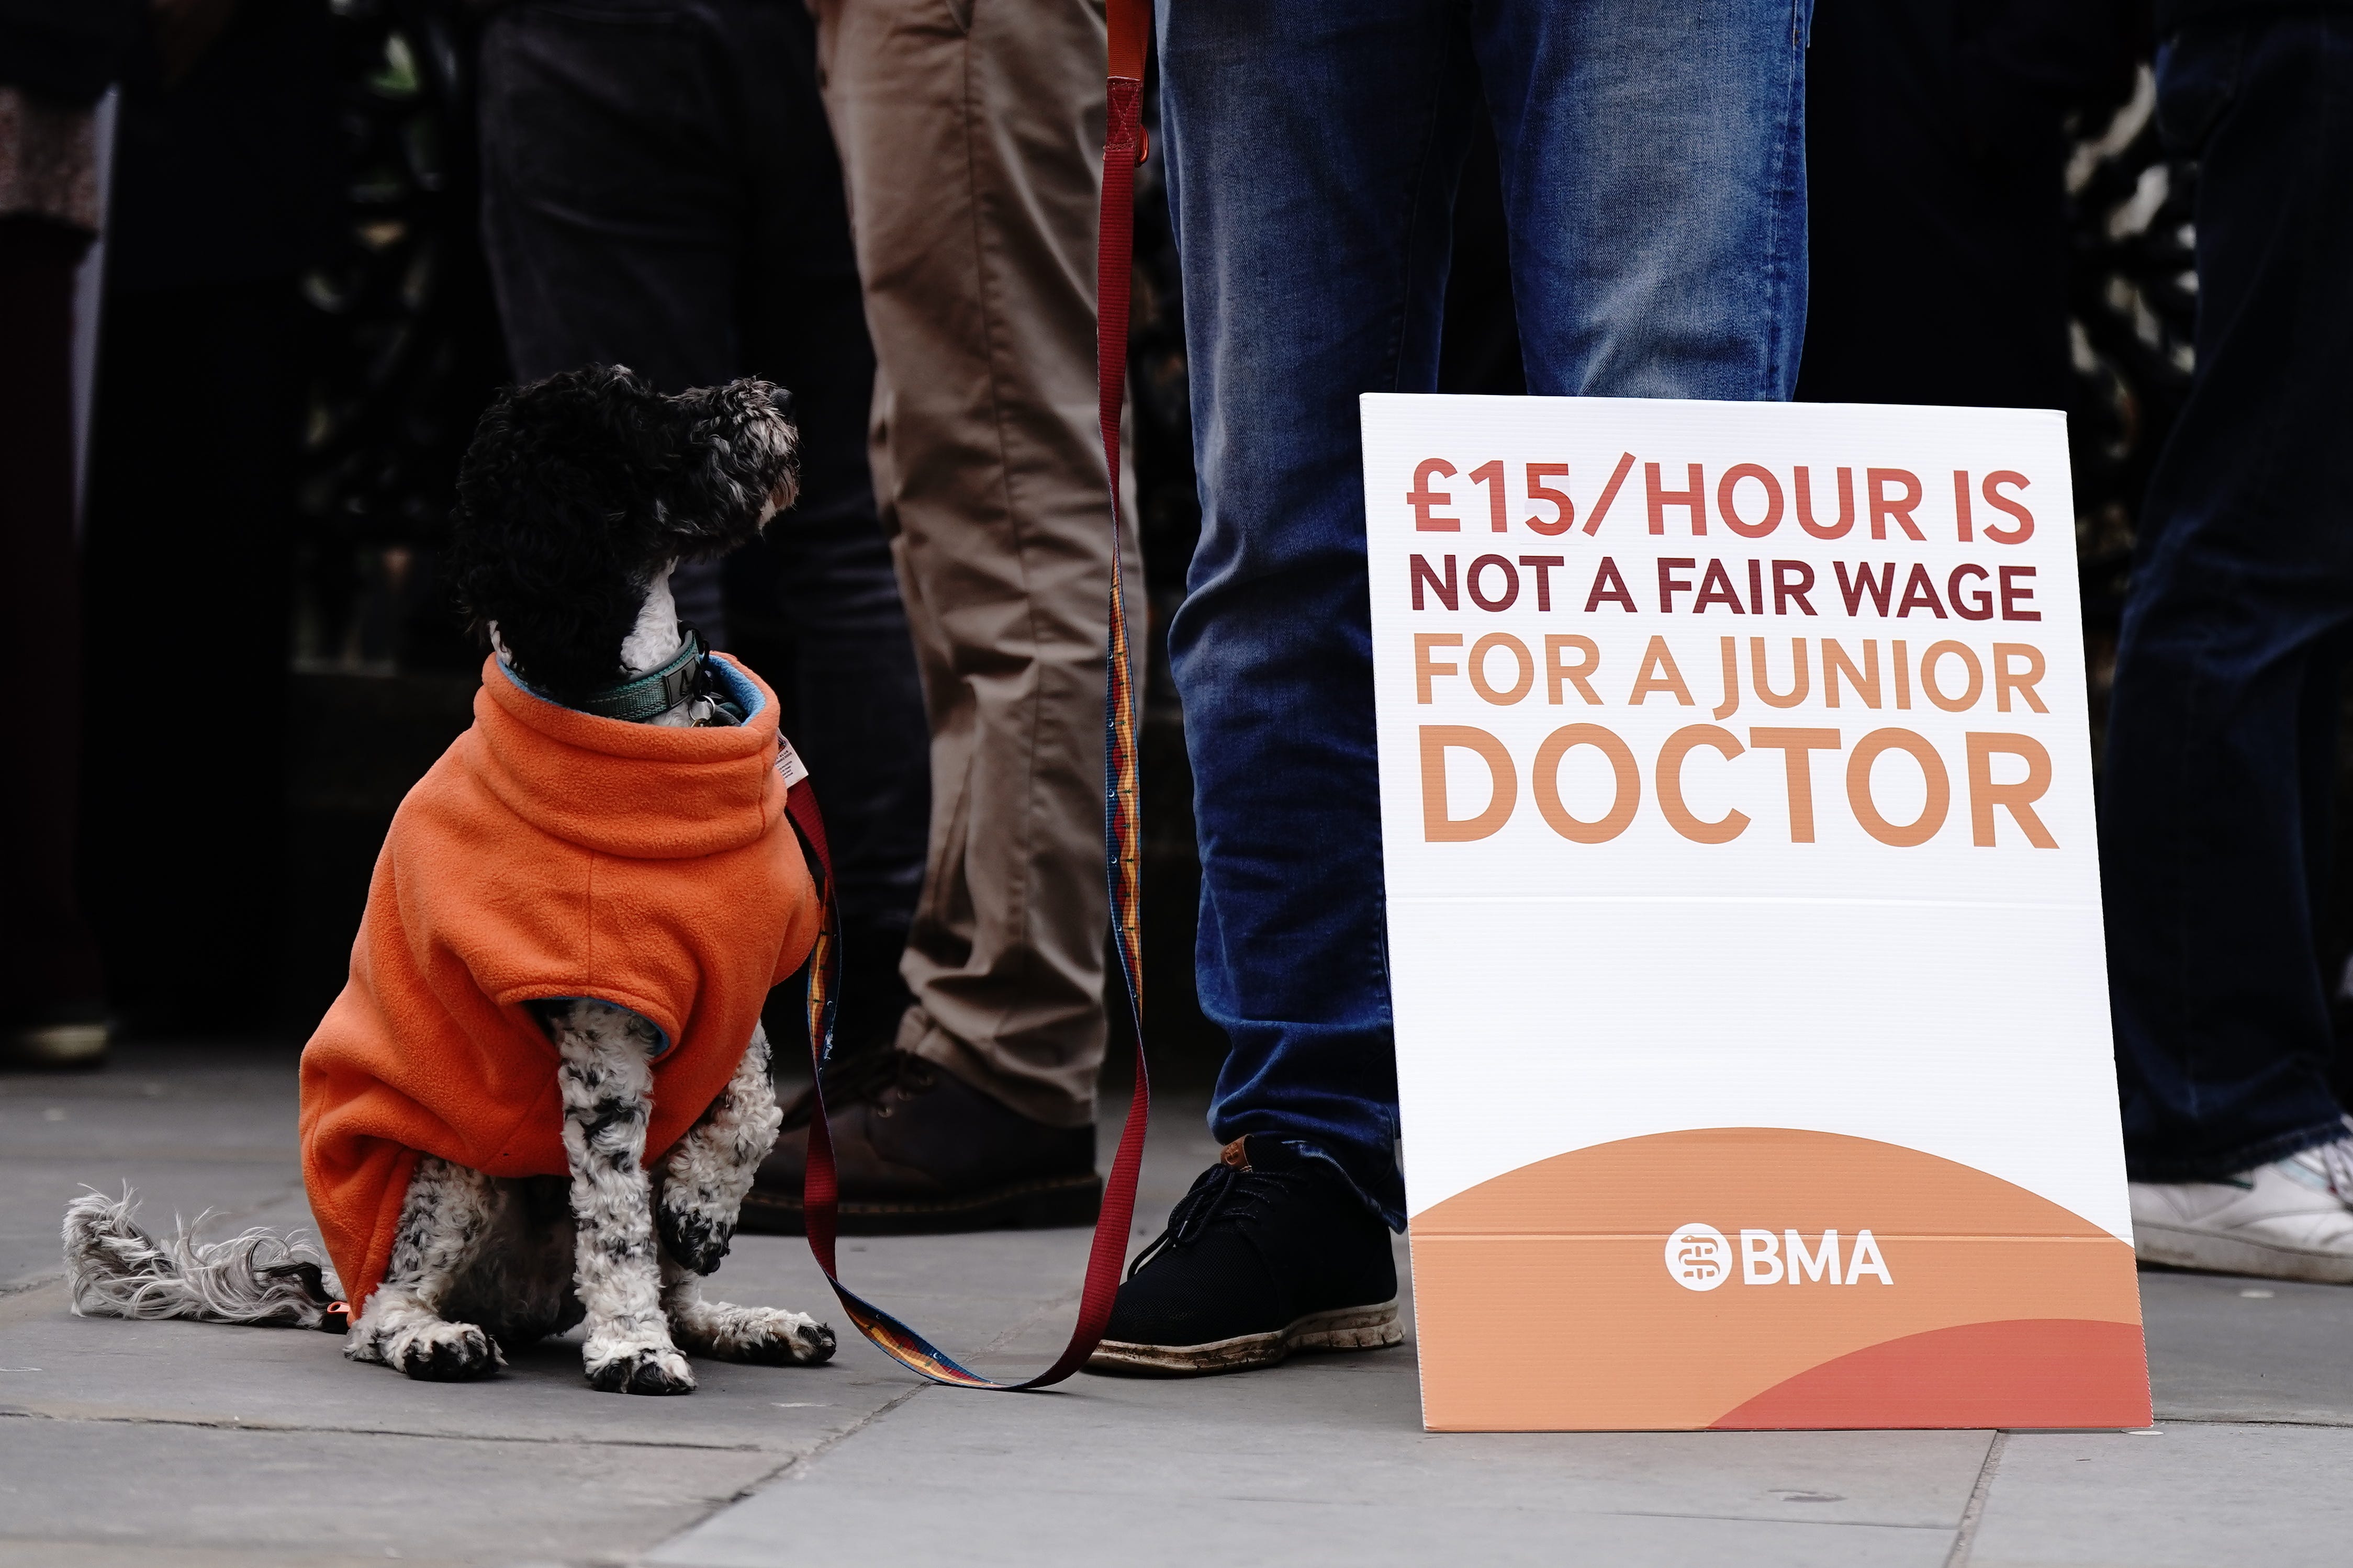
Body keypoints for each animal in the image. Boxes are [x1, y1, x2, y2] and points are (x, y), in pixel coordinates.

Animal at [64, 369, 842, 1401]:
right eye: (645, 415)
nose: (777, 395)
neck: (634, 717)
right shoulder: (600, 1032)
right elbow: (617, 1216)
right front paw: (631, 1348)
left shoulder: (738, 987)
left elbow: (752, 1111)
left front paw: (701, 1206)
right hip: (447, 1171)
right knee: (386, 1310)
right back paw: (439, 1340)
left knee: (672, 1287)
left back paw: (747, 1323)